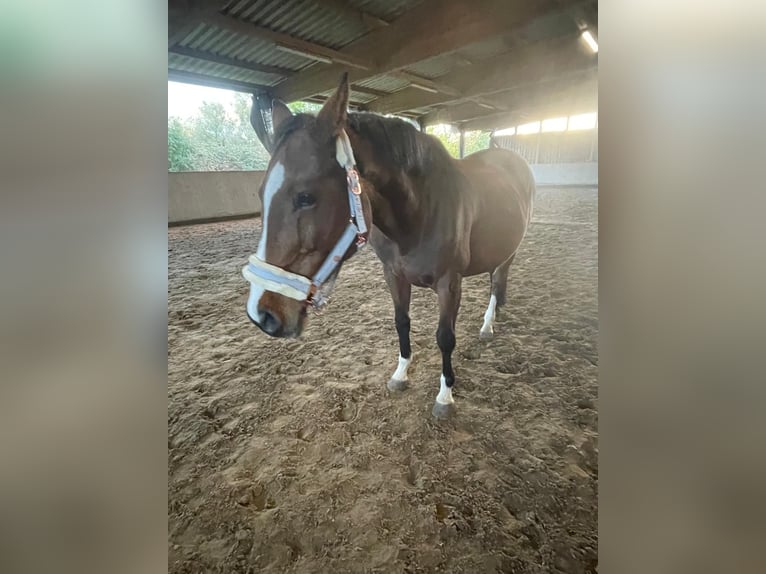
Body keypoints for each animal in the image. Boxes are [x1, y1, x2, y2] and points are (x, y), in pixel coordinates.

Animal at [243, 75, 536, 418]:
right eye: (260, 193)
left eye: (305, 197)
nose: (262, 315)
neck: (420, 212)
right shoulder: (393, 275)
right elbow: (401, 323)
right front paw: (400, 375)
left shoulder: (450, 283)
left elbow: (445, 337)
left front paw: (445, 396)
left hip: (509, 252)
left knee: (496, 282)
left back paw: (488, 324)